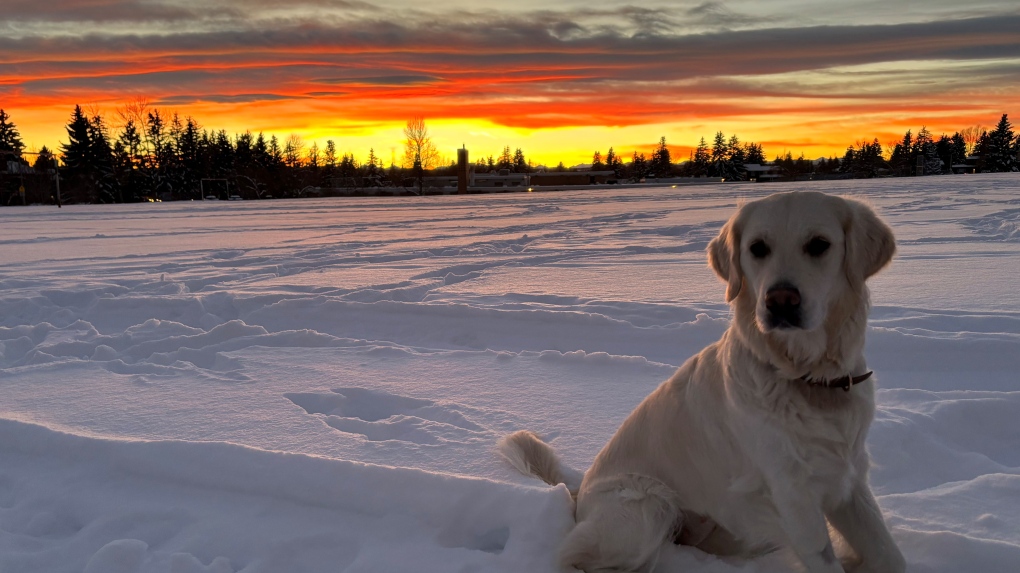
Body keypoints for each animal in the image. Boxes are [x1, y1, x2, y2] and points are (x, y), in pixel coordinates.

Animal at [497, 191, 905, 570]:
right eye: (758, 248)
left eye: (819, 244)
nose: (780, 301)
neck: (807, 377)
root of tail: (580, 494)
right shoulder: (793, 495)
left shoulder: (848, 478)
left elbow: (890, 554)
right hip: (648, 507)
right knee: (572, 556)